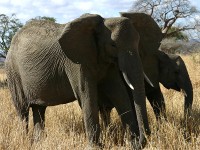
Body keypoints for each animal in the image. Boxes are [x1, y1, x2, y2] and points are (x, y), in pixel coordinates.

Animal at [5, 13, 150, 149]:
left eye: (138, 42)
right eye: (113, 45)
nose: (139, 141)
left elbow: (119, 93)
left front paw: (131, 143)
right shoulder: (75, 63)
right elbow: (87, 95)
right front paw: (95, 147)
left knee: (39, 109)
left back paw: (39, 144)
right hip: (13, 73)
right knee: (22, 111)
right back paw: (25, 141)